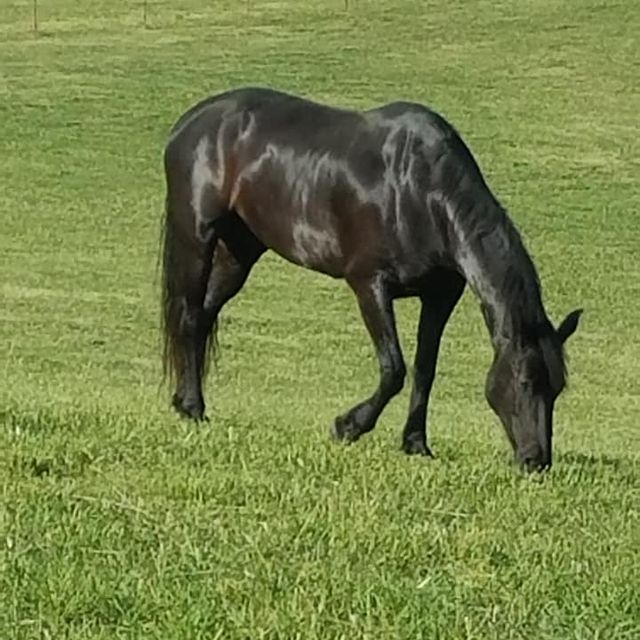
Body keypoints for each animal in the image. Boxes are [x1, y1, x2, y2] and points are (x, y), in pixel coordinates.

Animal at [159, 86, 582, 471]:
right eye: (525, 381)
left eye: (557, 387)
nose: (536, 461)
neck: (419, 191)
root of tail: (189, 122)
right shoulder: (370, 285)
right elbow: (393, 369)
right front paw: (348, 426)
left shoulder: (440, 296)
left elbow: (424, 369)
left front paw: (416, 443)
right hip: (197, 235)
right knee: (190, 315)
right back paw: (193, 408)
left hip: (240, 250)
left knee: (205, 315)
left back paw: (183, 401)